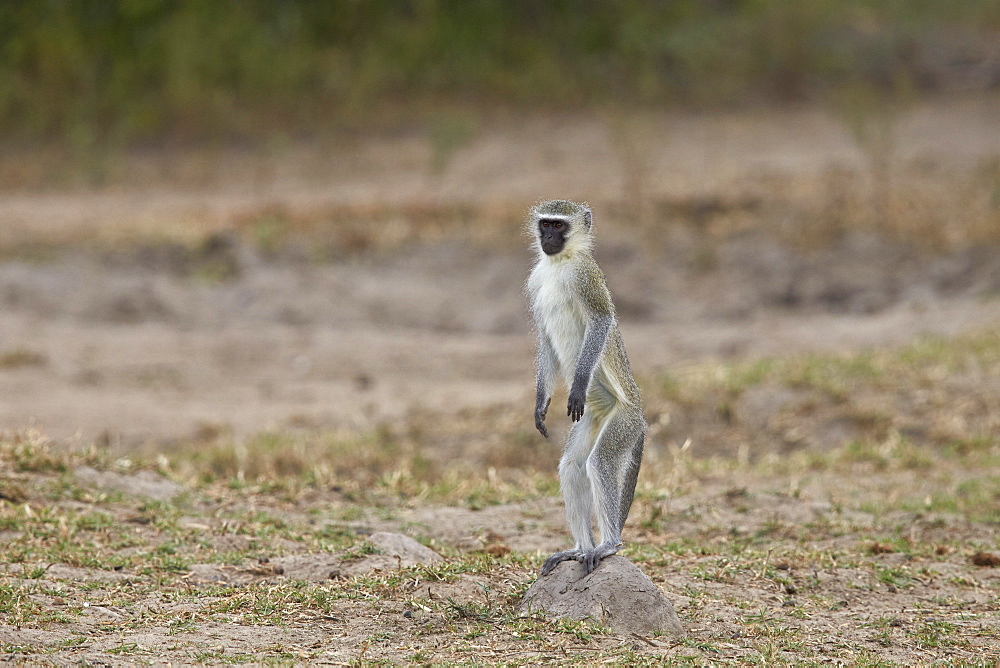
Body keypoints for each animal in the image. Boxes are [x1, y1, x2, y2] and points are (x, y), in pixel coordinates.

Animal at [528, 200, 644, 576]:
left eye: (559, 226)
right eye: (545, 224)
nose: (548, 239)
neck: (559, 264)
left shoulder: (586, 276)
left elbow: (600, 321)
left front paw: (577, 387)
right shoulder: (535, 283)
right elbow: (545, 339)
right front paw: (540, 403)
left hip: (624, 422)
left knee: (601, 463)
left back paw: (608, 545)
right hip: (592, 418)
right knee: (572, 467)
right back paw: (580, 549)